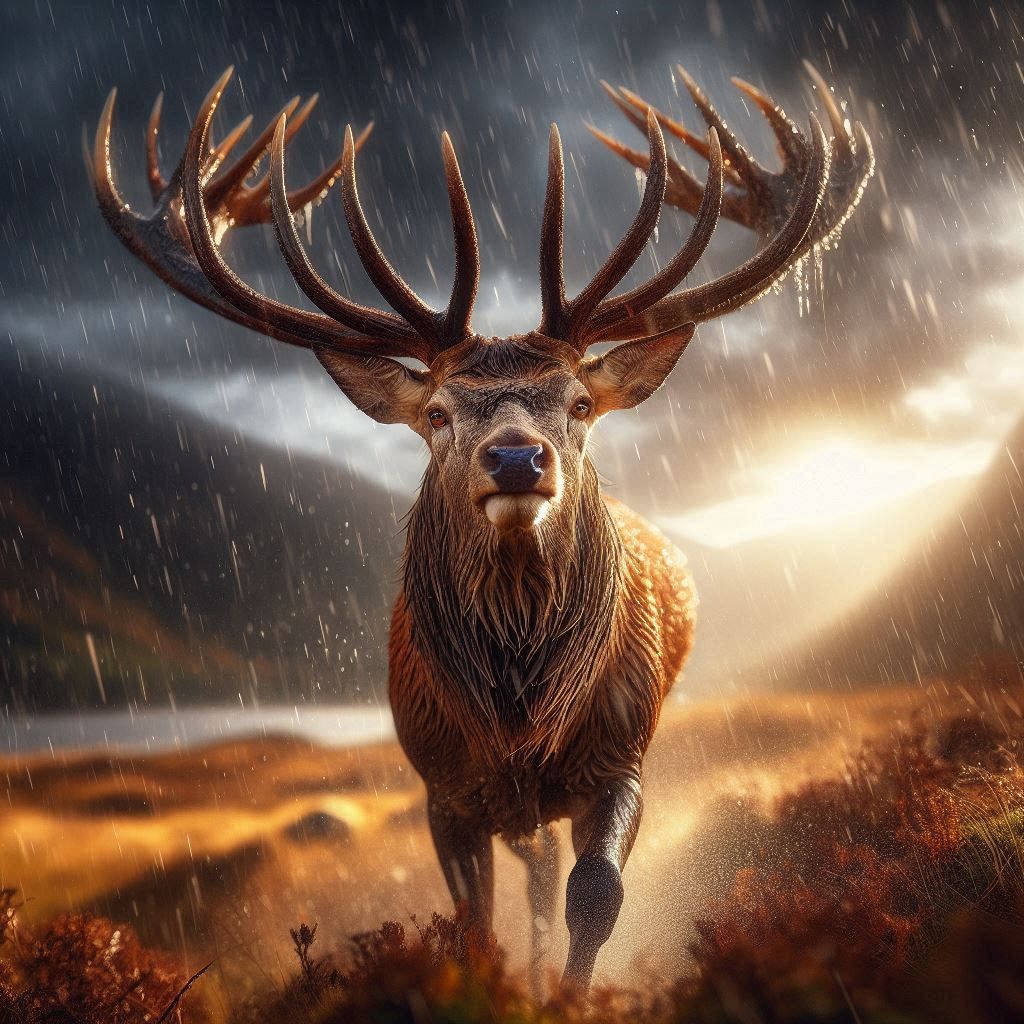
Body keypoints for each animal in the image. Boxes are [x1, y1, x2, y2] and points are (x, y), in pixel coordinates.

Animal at [90, 62, 873, 991]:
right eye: (435, 413)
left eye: (580, 402)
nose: (516, 459)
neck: (516, 716)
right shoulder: (441, 785)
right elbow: (472, 921)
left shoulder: (622, 755)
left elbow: (596, 893)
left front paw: (569, 997)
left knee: (547, 875)